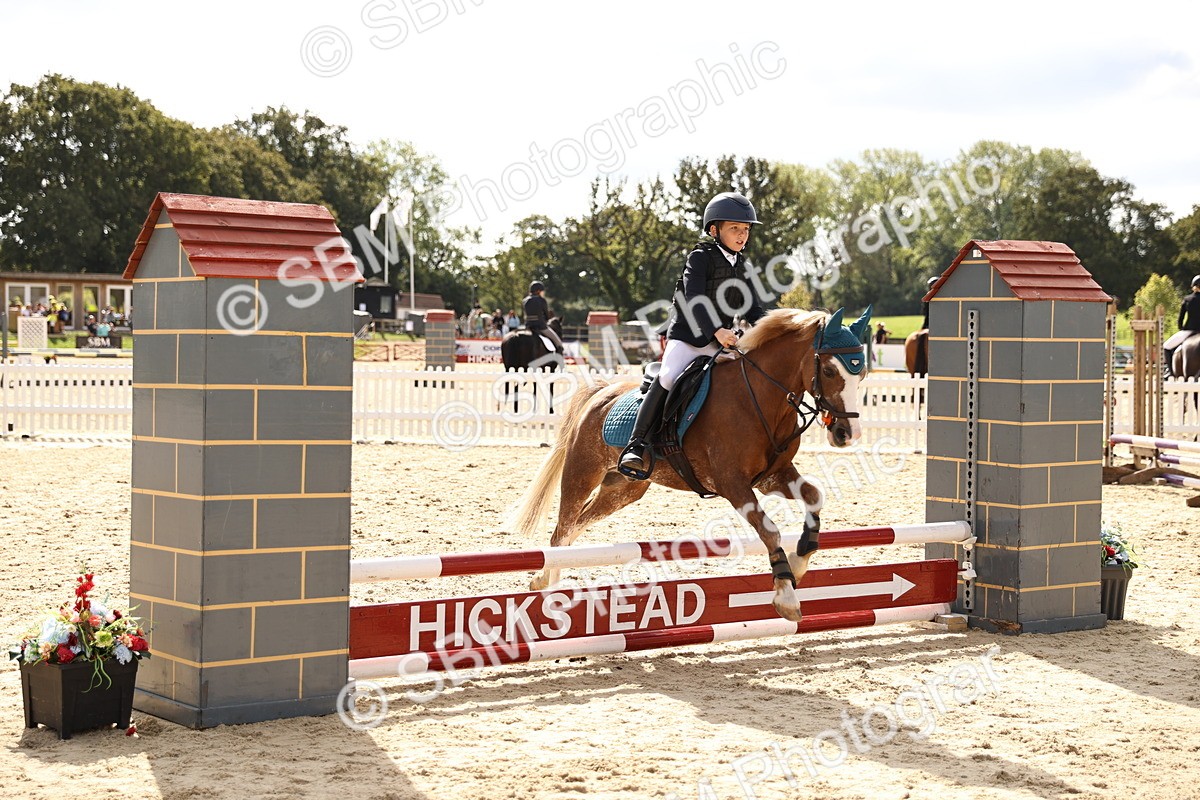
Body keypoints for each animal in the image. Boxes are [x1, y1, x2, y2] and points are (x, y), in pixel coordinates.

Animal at [508, 307, 871, 622]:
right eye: (828, 370)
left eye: (862, 374)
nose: (847, 434)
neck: (760, 397)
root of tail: (603, 391)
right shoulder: (733, 484)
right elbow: (769, 530)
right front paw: (786, 595)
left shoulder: (773, 477)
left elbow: (814, 497)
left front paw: (798, 562)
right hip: (583, 472)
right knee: (562, 529)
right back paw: (549, 588)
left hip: (624, 489)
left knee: (577, 524)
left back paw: (548, 581)